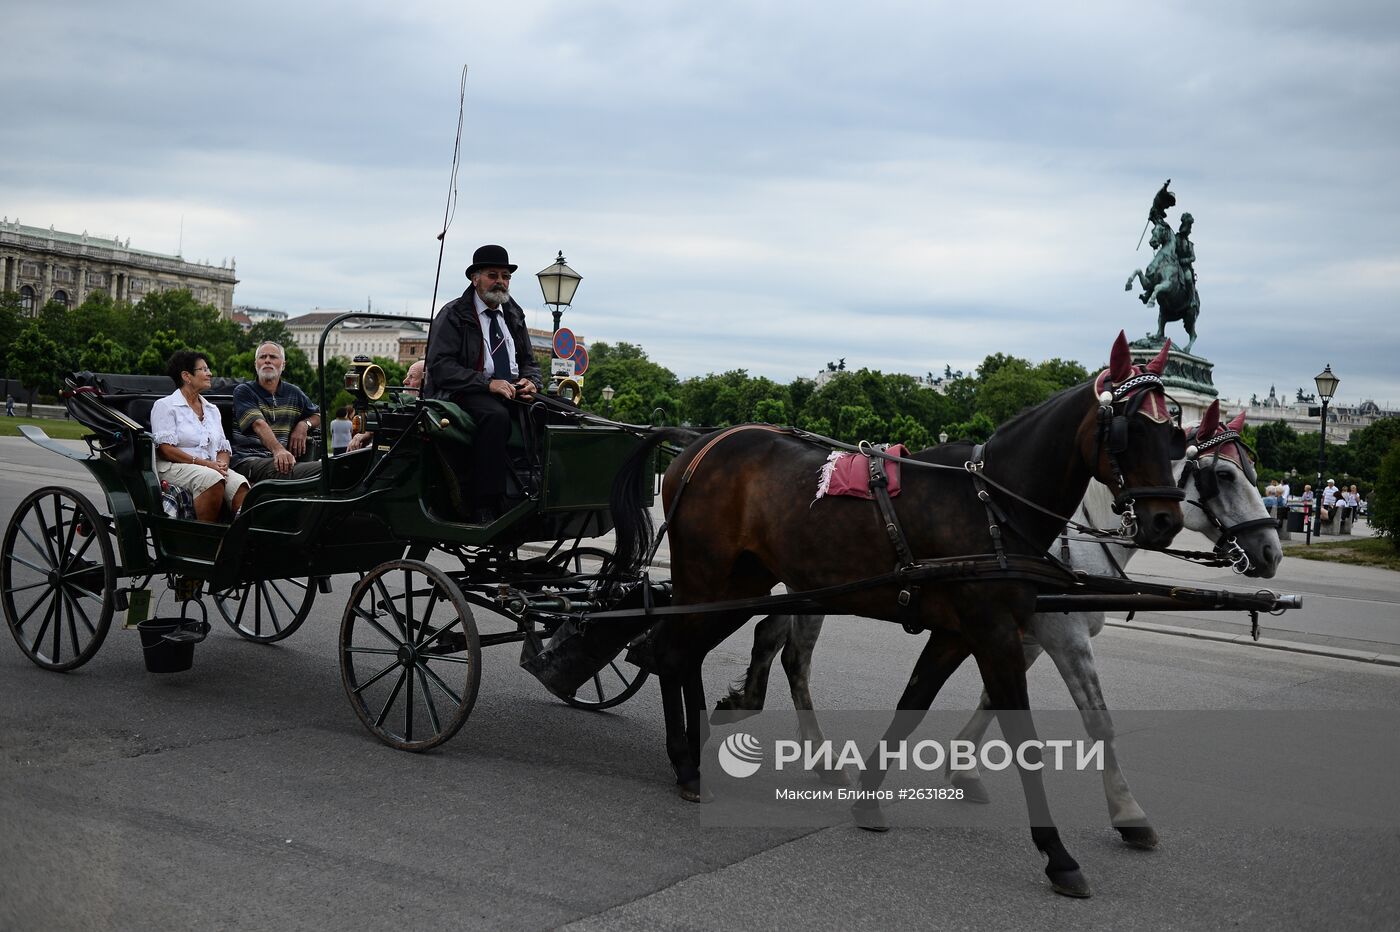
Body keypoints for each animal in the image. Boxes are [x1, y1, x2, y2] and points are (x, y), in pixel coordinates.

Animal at [607, 331, 1187, 895]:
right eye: (1130, 429)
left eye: (1175, 433)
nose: (1165, 521)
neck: (989, 505)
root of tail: (698, 439)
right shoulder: (993, 630)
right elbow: (1023, 739)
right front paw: (1058, 855)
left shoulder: (957, 634)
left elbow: (912, 705)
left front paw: (867, 795)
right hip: (706, 574)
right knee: (674, 651)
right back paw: (686, 760)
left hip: (741, 582)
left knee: (681, 651)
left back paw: (694, 748)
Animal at [716, 400, 1282, 839]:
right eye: (1225, 476)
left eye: (1256, 477)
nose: (1271, 551)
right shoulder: (1062, 634)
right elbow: (1096, 717)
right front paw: (1127, 811)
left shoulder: (1022, 633)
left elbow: (992, 698)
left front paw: (963, 767)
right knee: (795, 656)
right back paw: (815, 753)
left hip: (801, 584)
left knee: (773, 638)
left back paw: (761, 710)